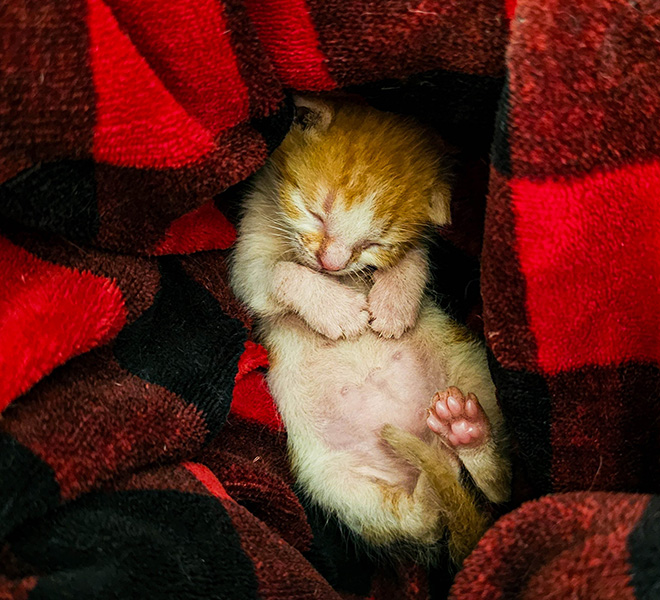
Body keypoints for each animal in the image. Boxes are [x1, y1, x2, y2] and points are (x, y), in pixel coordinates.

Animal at [229, 95, 512, 564]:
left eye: (374, 244)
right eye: (316, 214)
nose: (331, 264)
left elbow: (416, 255)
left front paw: (394, 301)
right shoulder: (247, 262)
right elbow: (281, 273)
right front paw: (340, 312)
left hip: (473, 369)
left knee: (498, 485)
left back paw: (465, 431)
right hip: (334, 482)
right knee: (421, 520)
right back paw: (435, 474)